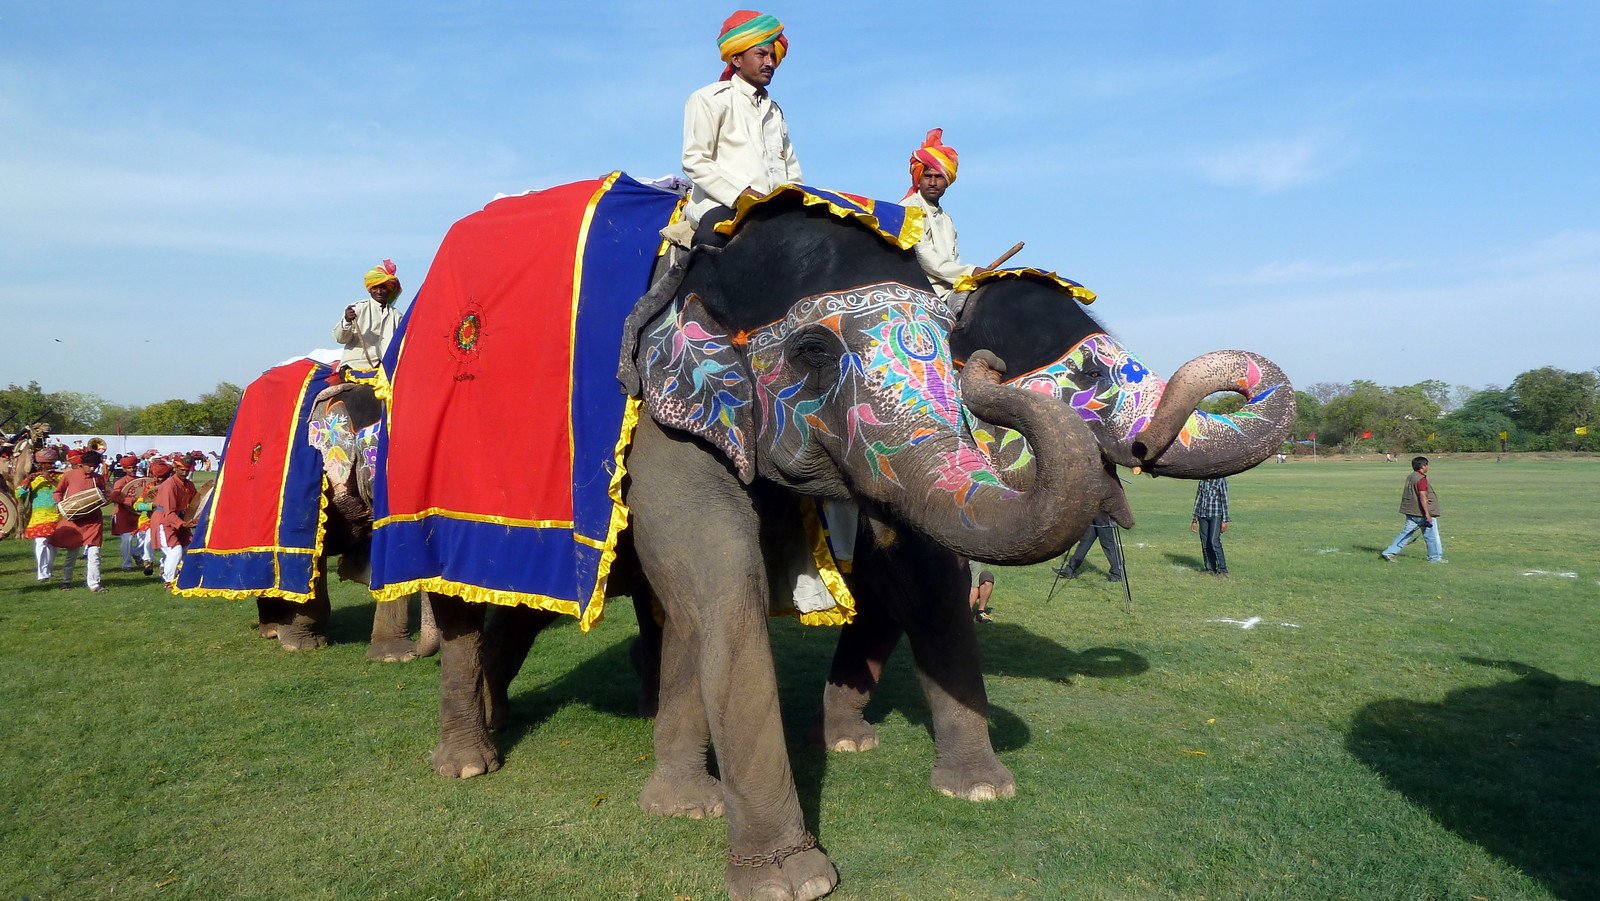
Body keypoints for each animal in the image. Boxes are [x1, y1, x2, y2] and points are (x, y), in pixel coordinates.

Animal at [422, 195, 1132, 901]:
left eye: (952, 349)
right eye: (814, 349)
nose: (990, 365)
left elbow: (922, 571)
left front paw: (978, 789)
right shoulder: (661, 415)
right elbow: (724, 582)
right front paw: (792, 879)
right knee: (458, 599)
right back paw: (469, 760)